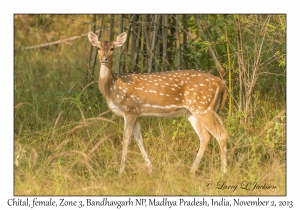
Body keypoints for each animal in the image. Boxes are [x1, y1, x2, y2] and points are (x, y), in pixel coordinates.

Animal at [88, 31, 229, 176]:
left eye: (112, 48)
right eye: (98, 48)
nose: (104, 59)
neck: (112, 87)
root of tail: (221, 83)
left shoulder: (129, 109)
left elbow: (126, 140)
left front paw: (120, 172)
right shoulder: (137, 113)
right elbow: (139, 139)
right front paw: (150, 168)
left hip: (203, 107)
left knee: (222, 135)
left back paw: (223, 172)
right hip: (193, 111)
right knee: (205, 136)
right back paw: (192, 170)